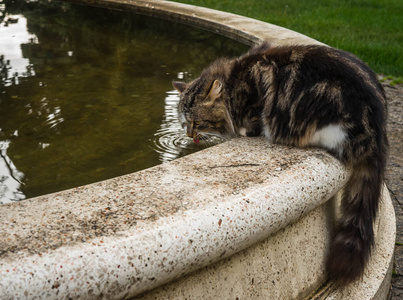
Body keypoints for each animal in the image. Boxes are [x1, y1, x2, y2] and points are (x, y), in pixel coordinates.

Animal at [173, 41, 388, 284]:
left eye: (197, 122)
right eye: (184, 123)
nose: (189, 135)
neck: (233, 83)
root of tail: (377, 135)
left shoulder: (254, 113)